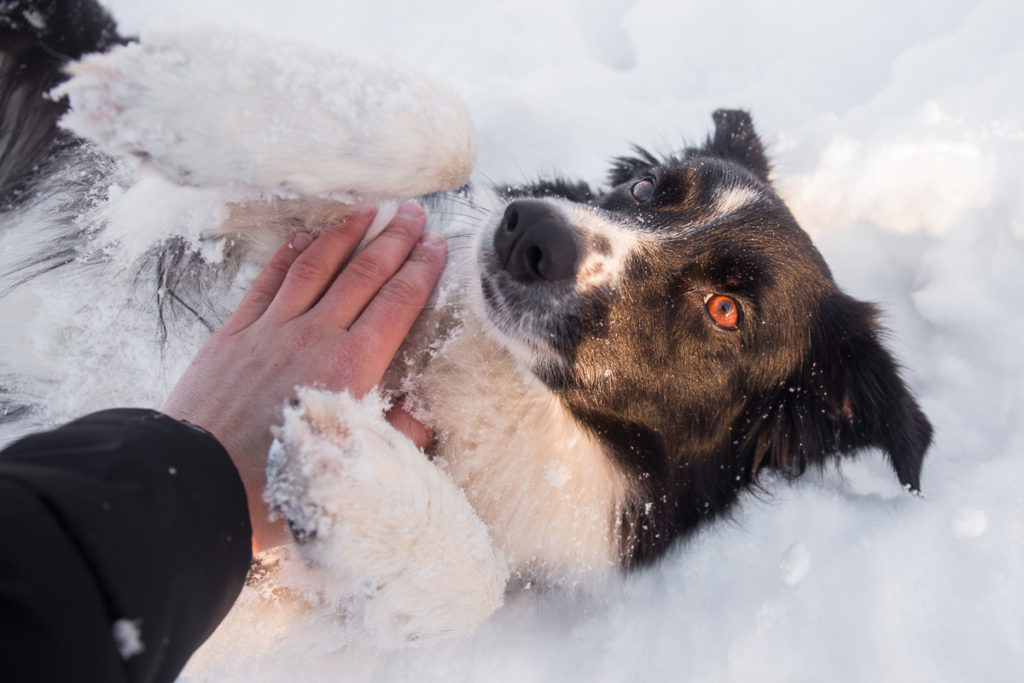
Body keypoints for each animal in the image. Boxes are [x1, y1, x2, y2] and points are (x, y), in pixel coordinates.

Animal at [0, 0, 929, 647]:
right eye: (647, 188)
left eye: (726, 310)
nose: (529, 230)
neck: (480, 380)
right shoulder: (185, 210)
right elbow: (449, 126)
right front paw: (168, 91)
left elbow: (476, 585)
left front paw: (358, 479)